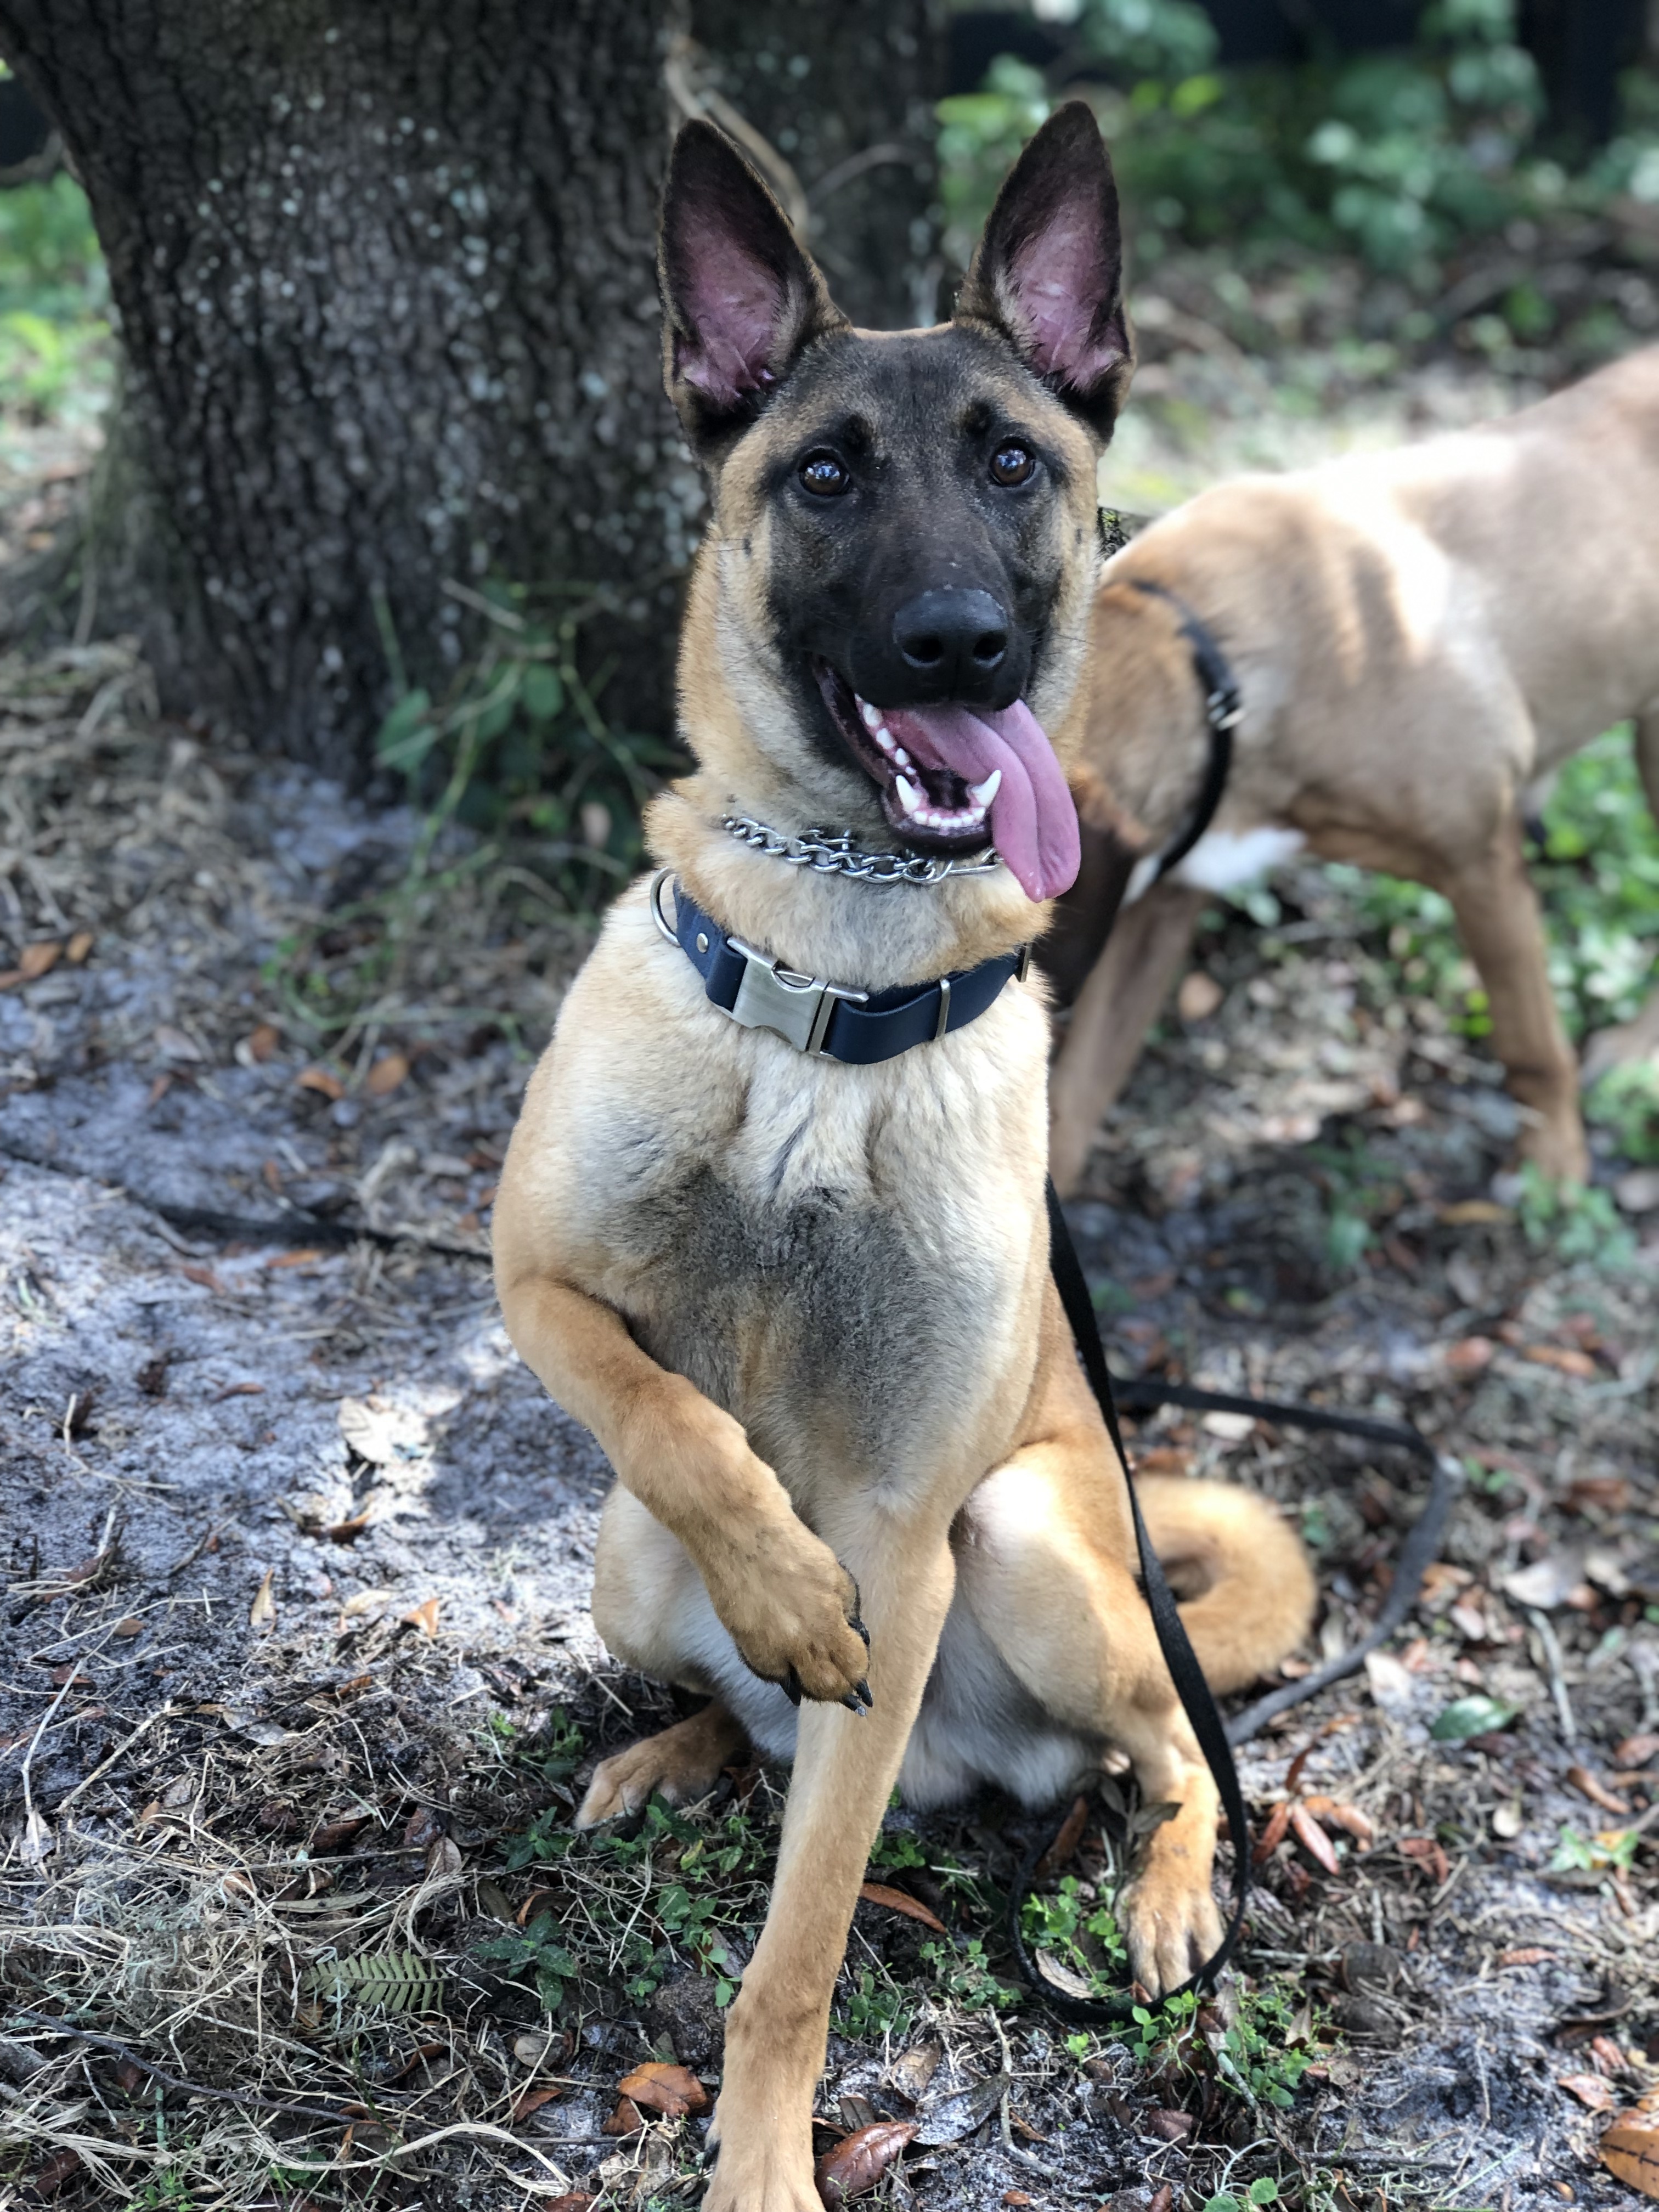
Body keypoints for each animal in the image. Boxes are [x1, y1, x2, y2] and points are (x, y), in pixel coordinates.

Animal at [491, 112, 1309, 2212]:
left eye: (1014, 462)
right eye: (828, 473)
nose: (965, 646)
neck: (838, 990)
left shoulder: (910, 1532)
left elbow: (792, 1962)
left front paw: (767, 2164)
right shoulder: (534, 1281)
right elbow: (674, 1414)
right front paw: (777, 1593)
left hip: (1022, 1540)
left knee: (1175, 1756)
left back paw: (1172, 1889)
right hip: (624, 1565)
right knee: (733, 1684)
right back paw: (675, 1746)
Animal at [1044, 347, 1659, 1203]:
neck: (1217, 664)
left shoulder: (1482, 864)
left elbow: (1532, 1048)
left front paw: (1552, 1169)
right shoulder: (1162, 902)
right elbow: (1072, 1104)